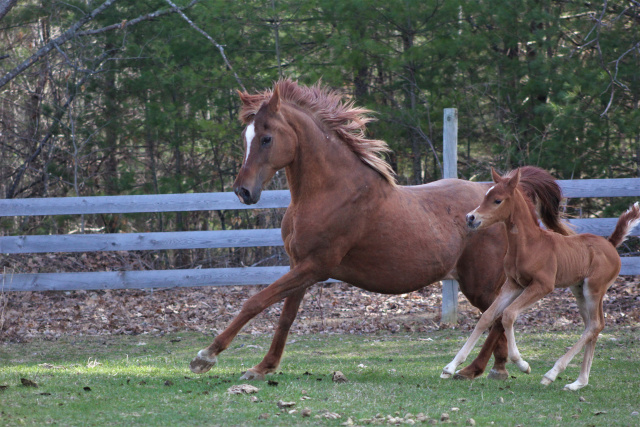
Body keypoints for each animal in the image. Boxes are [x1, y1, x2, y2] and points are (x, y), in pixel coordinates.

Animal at [186, 80, 568, 382]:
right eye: (246, 137)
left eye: (266, 138)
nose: (243, 192)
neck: (331, 193)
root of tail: (508, 196)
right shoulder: (300, 266)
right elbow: (285, 318)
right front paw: (263, 367)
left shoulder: (315, 266)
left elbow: (256, 302)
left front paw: (206, 356)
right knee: (499, 317)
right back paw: (496, 368)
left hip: (480, 281)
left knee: (496, 316)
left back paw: (474, 369)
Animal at [440, 168, 640, 392]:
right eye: (485, 196)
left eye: (497, 200)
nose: (471, 217)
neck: (529, 244)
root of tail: (611, 245)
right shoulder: (513, 284)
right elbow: (487, 317)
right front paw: (450, 367)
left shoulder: (542, 286)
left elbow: (508, 315)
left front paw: (522, 364)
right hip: (579, 290)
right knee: (593, 326)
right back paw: (578, 382)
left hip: (594, 289)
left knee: (595, 325)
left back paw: (551, 374)